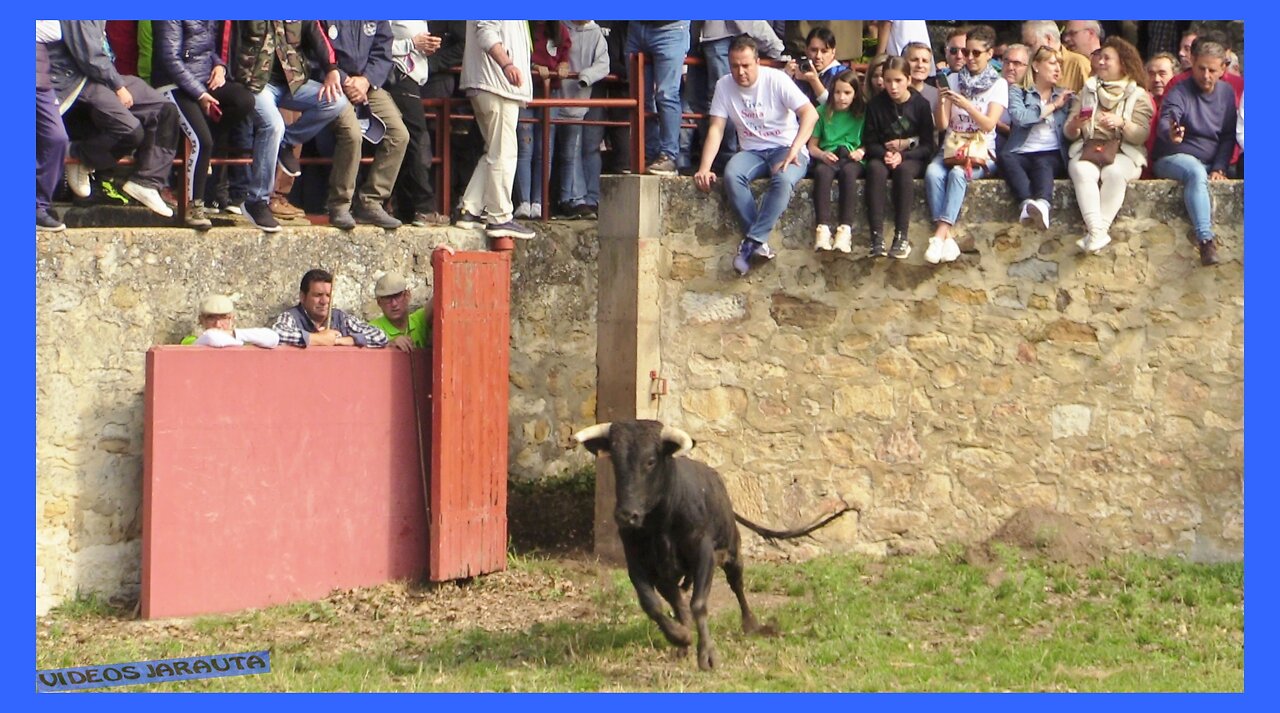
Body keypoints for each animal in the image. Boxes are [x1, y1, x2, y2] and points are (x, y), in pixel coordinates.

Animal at [576, 417, 855, 665]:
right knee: (677, 602)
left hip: (733, 553)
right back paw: (683, 641)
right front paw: (680, 637)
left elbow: (699, 603)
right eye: (615, 461)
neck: (660, 523)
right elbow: (652, 605)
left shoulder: (704, 554)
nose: (627, 515)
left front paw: (707, 655)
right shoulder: (638, 563)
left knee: (737, 586)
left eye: (650, 461)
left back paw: (751, 624)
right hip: (670, 575)